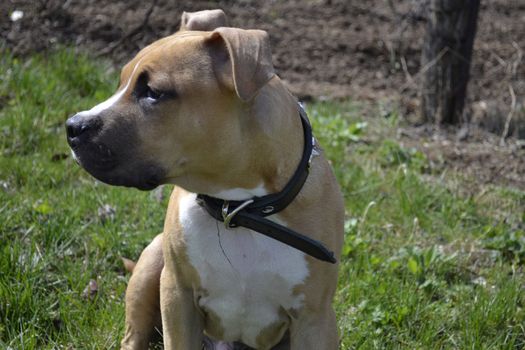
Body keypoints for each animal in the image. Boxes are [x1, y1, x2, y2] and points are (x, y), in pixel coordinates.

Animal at [66, 8, 344, 350]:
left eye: (153, 93)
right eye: (120, 83)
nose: (72, 126)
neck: (238, 208)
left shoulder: (314, 318)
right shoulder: (177, 297)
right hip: (153, 261)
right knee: (133, 335)